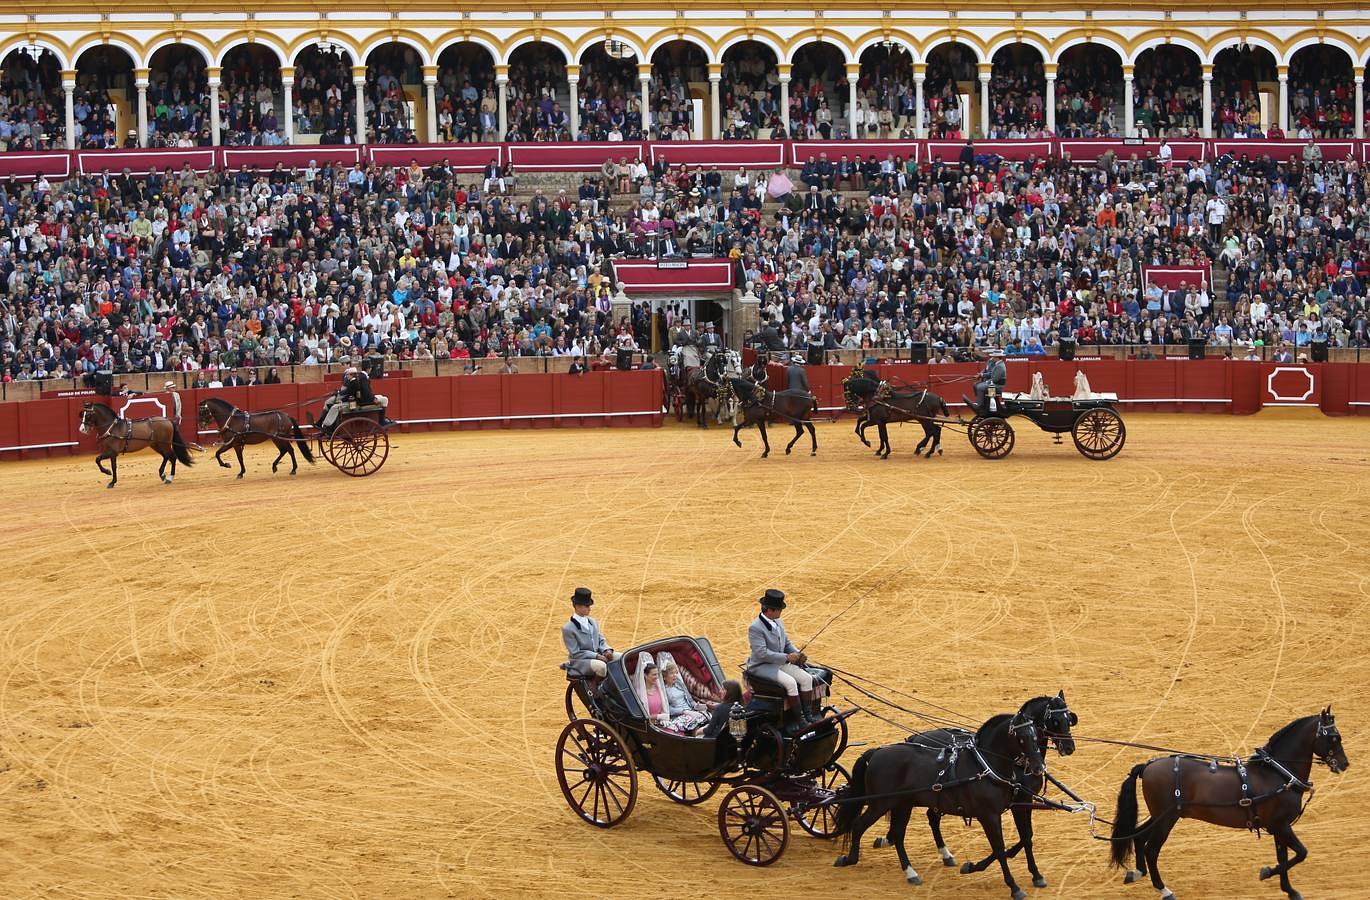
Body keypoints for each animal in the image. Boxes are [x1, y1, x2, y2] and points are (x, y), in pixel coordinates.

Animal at [827, 706, 1041, 893]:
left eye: (1035, 736)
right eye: (1021, 738)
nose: (1038, 767)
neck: (984, 767)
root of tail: (877, 752)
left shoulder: (1012, 808)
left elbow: (1020, 839)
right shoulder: (988, 816)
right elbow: (1000, 848)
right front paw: (1014, 887)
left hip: (902, 805)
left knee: (897, 834)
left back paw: (910, 873)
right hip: (880, 804)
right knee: (859, 825)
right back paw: (849, 859)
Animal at [876, 690, 1079, 887]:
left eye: (1069, 720)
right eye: (1055, 721)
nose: (1069, 747)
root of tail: (914, 737)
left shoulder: (1024, 803)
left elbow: (1026, 836)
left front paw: (1029, 871)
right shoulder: (1017, 803)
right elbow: (1022, 837)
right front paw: (981, 865)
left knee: (931, 818)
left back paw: (941, 853)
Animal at [1112, 706, 1348, 898]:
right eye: (1334, 737)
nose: (1344, 764)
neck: (1277, 774)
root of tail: (1147, 766)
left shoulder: (1278, 827)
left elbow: (1283, 857)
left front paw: (1289, 890)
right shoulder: (1281, 826)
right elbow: (1300, 853)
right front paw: (1266, 872)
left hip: (1161, 815)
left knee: (1139, 835)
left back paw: (1137, 873)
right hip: (1167, 818)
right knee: (1152, 849)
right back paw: (1164, 890)